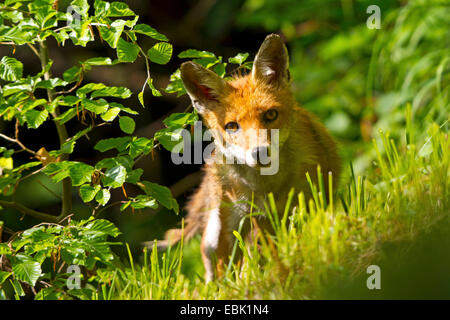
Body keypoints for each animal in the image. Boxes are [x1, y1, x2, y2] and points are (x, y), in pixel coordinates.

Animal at [160, 33, 340, 282]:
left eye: (271, 115)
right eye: (232, 126)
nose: (259, 152)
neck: (265, 187)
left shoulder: (307, 200)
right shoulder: (236, 221)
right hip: (217, 231)